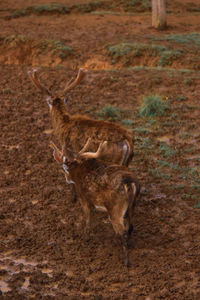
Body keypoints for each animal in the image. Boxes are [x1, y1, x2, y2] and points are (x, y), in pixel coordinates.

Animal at [28, 68, 134, 202]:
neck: (63, 124)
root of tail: (128, 142)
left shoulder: (68, 150)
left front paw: (74, 197)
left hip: (113, 160)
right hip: (126, 162)